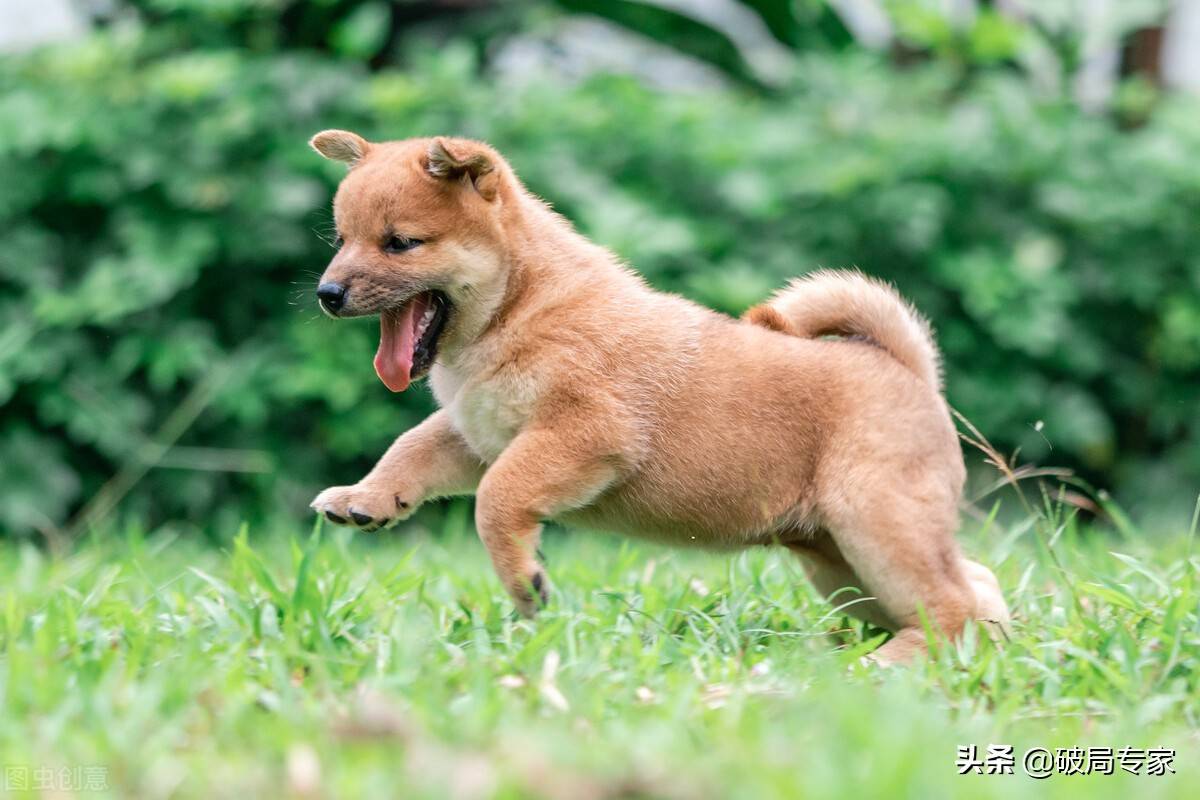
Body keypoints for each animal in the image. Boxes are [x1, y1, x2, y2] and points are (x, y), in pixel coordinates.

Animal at [304, 131, 1008, 666]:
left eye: (400, 243)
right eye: (341, 239)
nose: (327, 293)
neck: (521, 306)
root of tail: (907, 368)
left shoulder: (582, 433)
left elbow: (496, 502)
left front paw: (525, 583)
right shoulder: (479, 434)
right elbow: (412, 448)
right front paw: (367, 498)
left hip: (878, 529)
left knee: (949, 604)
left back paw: (887, 667)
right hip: (842, 566)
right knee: (972, 587)